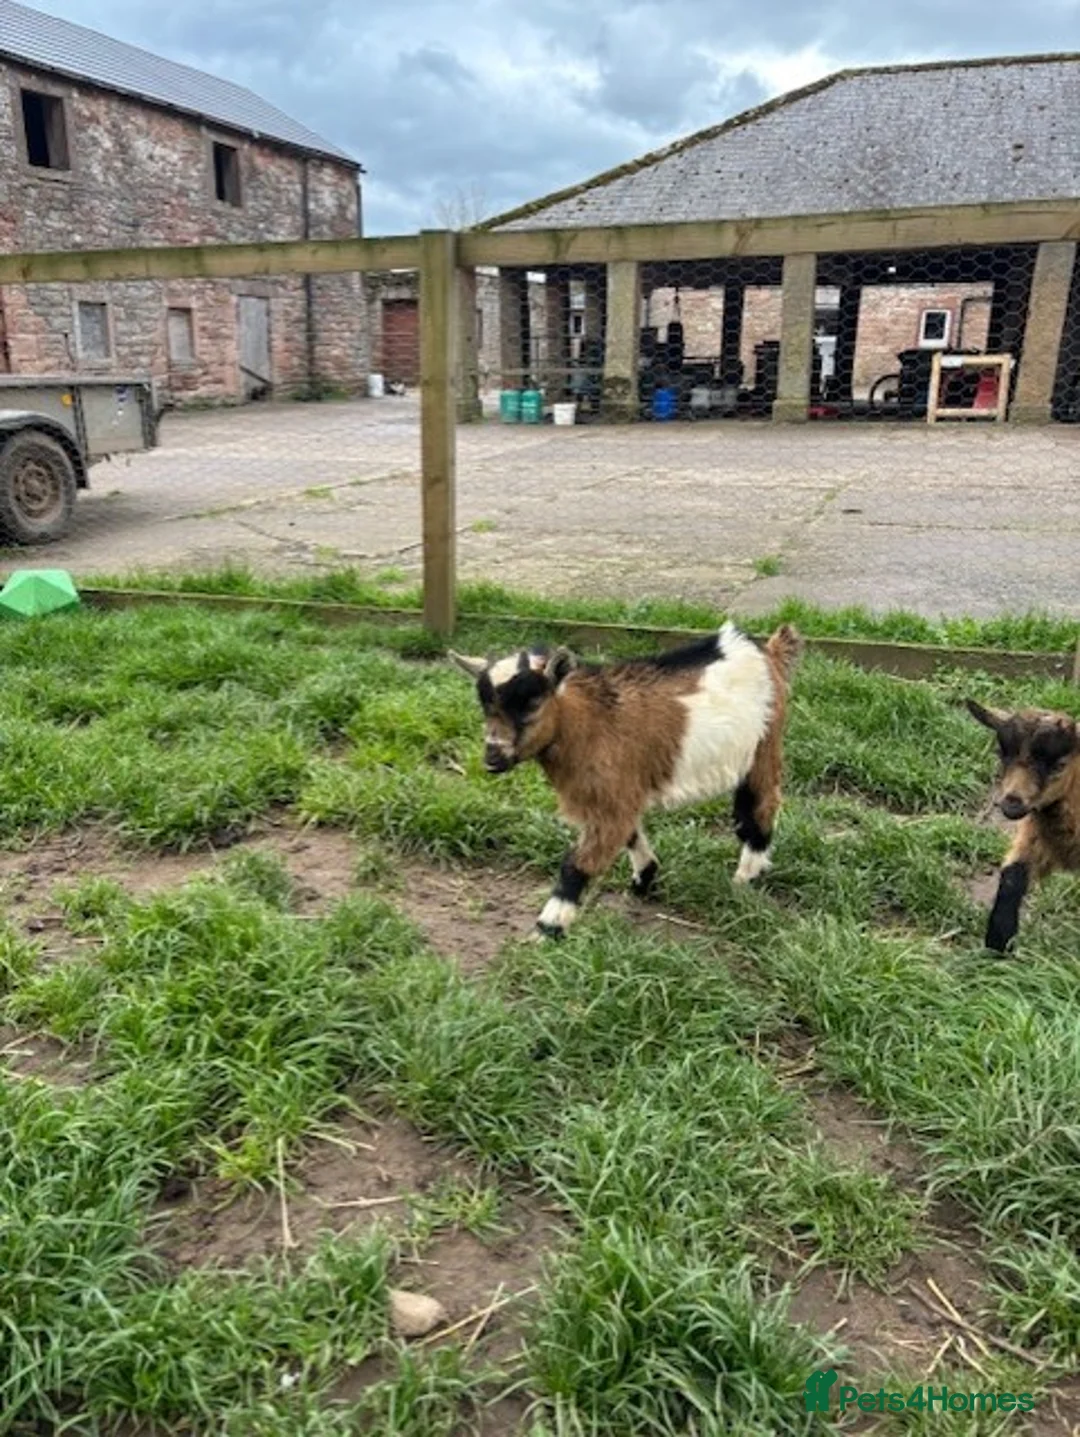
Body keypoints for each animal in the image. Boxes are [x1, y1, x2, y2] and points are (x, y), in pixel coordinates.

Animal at [450, 622, 802, 938]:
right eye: (486, 706)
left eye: (532, 703)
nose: (493, 757)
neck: (586, 720)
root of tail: (768, 652)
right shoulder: (613, 794)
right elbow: (630, 833)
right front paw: (645, 878)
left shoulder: (611, 800)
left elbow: (577, 862)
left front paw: (547, 929)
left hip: (763, 746)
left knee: (760, 805)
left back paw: (745, 878)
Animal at [966, 699, 1080, 953]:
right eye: (1001, 754)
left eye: (1060, 765)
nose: (1011, 801)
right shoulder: (1034, 837)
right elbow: (1012, 877)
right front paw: (997, 947)